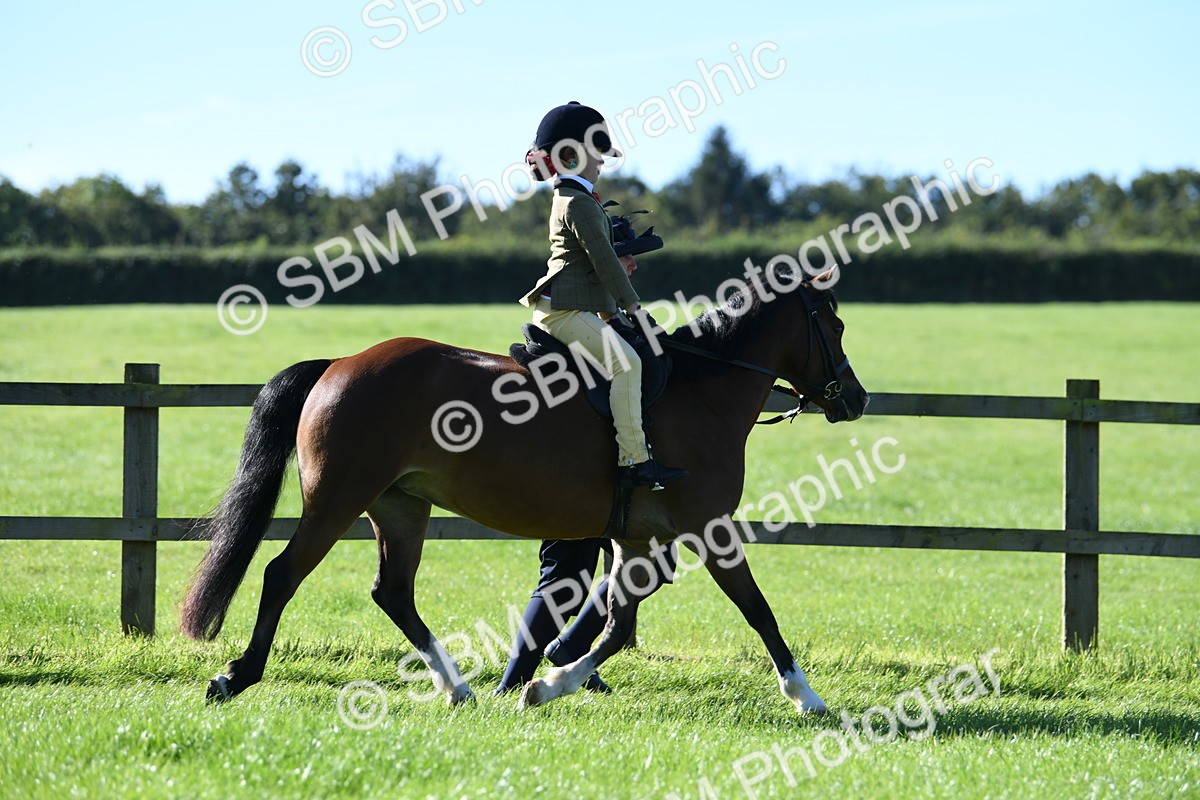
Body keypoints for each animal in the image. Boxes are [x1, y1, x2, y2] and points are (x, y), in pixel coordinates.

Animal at [181, 264, 869, 715]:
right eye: (833, 325)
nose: (856, 400)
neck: (698, 392)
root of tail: (341, 364)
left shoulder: (641, 541)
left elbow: (617, 625)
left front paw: (548, 683)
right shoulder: (709, 532)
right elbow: (758, 611)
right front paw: (807, 697)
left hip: (401, 506)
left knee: (393, 592)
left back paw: (457, 687)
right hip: (338, 500)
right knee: (282, 574)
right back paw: (236, 677)